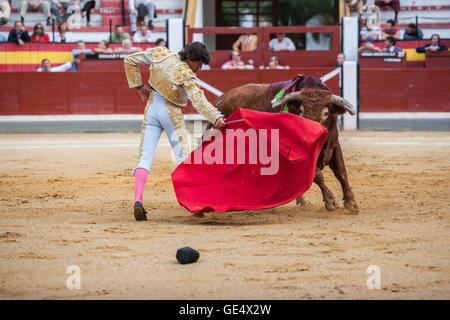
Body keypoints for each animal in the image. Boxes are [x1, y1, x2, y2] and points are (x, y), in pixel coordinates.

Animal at [207, 76, 358, 214]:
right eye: (301, 111)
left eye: (326, 113)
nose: (310, 133)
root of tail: (223, 97)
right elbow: (317, 175)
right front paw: (331, 201)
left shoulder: (334, 145)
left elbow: (341, 171)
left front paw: (351, 202)